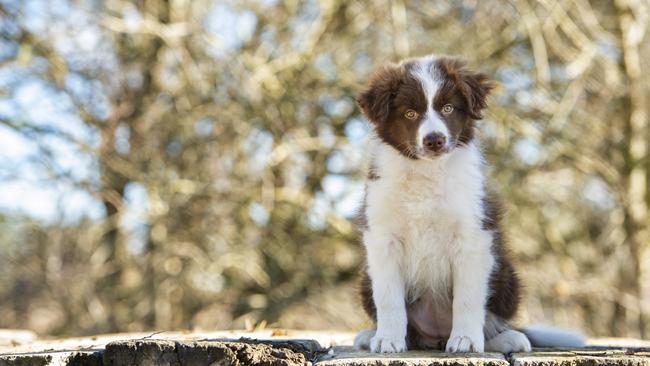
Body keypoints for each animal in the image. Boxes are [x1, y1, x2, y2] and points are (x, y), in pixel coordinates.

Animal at [352, 55, 584, 354]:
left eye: (448, 108)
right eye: (410, 113)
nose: (435, 140)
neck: (428, 173)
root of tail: (435, 336)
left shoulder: (473, 237)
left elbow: (468, 297)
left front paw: (465, 340)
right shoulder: (383, 238)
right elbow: (388, 297)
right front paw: (387, 339)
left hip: (507, 276)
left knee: (491, 319)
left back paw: (507, 338)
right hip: (365, 280)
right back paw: (371, 335)